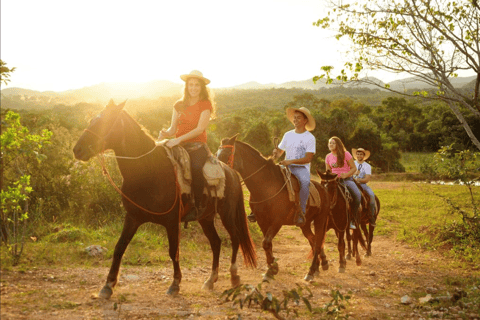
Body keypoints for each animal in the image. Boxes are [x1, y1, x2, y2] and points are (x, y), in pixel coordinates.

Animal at [71, 100, 256, 298]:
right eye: (92, 120)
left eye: (104, 121)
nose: (77, 150)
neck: (149, 170)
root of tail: (231, 172)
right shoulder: (133, 218)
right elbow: (119, 248)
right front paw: (107, 285)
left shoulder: (171, 221)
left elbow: (173, 251)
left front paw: (175, 284)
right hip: (205, 218)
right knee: (216, 242)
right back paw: (210, 280)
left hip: (226, 213)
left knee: (235, 238)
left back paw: (234, 276)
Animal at [217, 136, 330, 282]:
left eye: (225, 155)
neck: (267, 185)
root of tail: (323, 189)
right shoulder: (262, 220)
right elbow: (267, 244)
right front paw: (271, 269)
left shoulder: (277, 221)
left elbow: (266, 242)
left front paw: (272, 269)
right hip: (305, 224)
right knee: (314, 240)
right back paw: (317, 267)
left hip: (320, 220)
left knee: (317, 241)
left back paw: (311, 271)